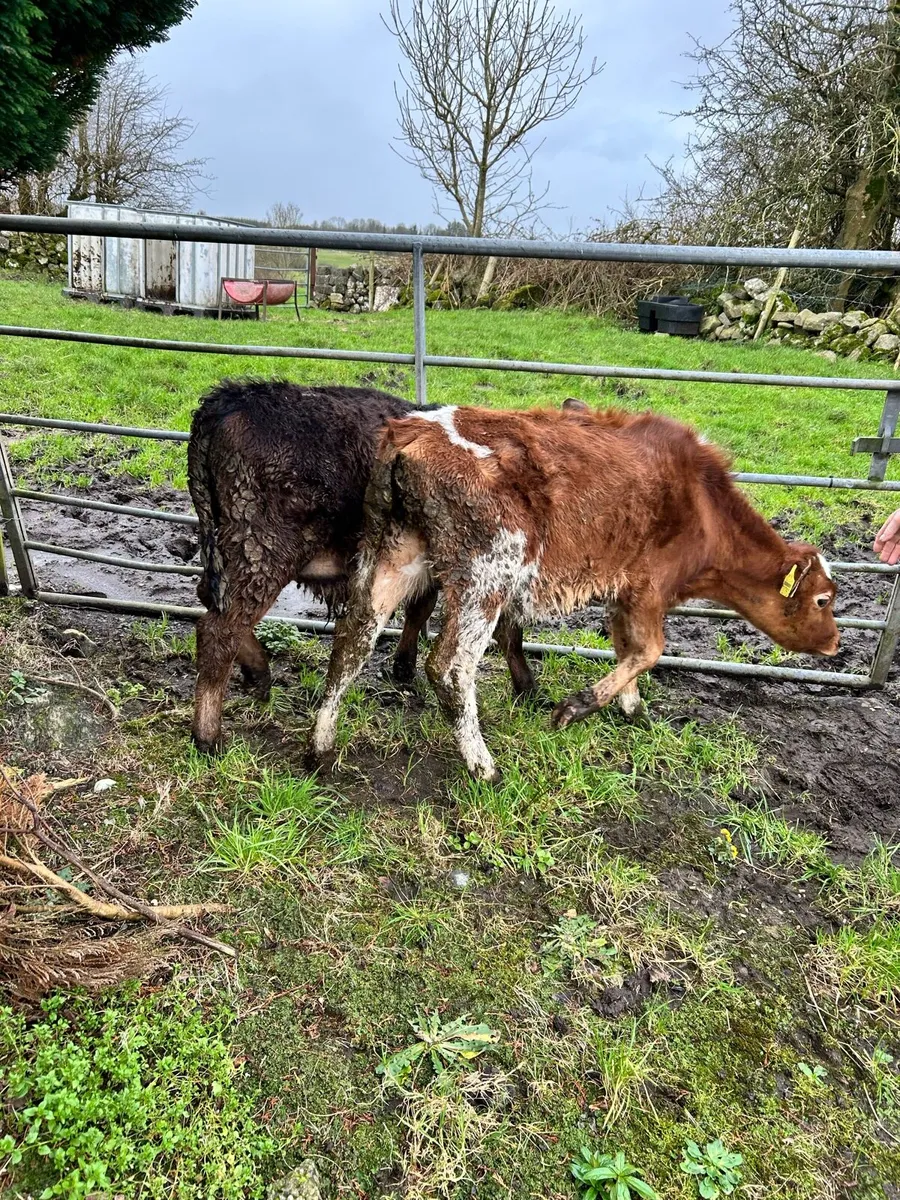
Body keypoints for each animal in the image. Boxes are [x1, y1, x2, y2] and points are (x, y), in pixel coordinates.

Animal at [187, 380, 537, 752]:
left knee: (211, 601)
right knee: (219, 629)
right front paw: (528, 689)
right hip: (263, 549)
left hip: (229, 551)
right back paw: (208, 736)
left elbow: (420, 608)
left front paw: (404, 666)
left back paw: (257, 674)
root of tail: (231, 397)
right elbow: (508, 631)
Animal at [308, 402, 839, 782]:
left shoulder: (622, 591)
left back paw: (320, 747)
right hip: (486, 575)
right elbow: (649, 649)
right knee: (450, 666)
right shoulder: (647, 587)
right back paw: (483, 766)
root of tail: (411, 431)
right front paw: (575, 709)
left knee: (352, 639)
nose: (835, 642)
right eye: (823, 600)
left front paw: (632, 710)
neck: (701, 503)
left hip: (394, 552)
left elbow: (627, 648)